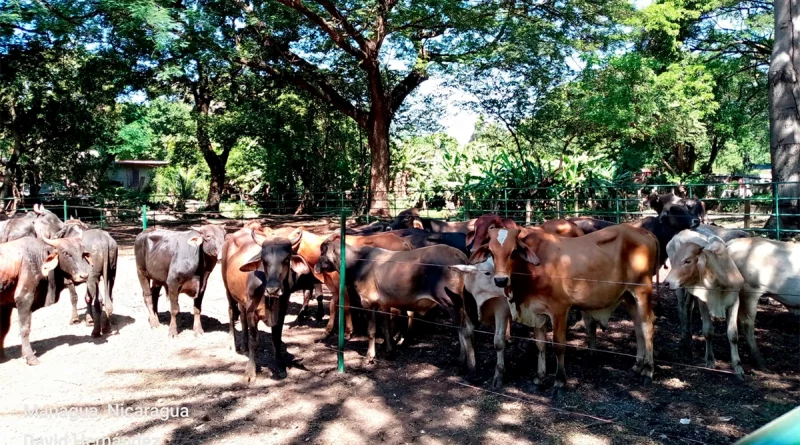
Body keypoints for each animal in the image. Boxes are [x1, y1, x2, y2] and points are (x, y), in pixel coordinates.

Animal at [0, 236, 92, 364]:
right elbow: (25, 328)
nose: (84, 276)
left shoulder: (5, 304)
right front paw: (30, 357)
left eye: (82, 253)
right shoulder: (24, 297)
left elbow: (3, 329)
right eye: (65, 253)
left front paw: (2, 357)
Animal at [222, 227, 310, 380]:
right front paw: (250, 371)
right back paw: (231, 342)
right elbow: (254, 341)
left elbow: (276, 339)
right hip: (228, 290)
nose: (273, 289)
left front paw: (280, 366)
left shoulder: (281, 313)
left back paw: (243, 345)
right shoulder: (252, 312)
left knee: (242, 318)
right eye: (264, 260)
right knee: (232, 313)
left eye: (286, 259)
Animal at [316, 232, 476, 368]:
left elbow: (372, 331)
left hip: (451, 302)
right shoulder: (384, 305)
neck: (358, 263)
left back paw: (469, 365)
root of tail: (460, 256)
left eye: (322, 251)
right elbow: (386, 328)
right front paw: (390, 350)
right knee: (465, 328)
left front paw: (369, 356)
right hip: (460, 304)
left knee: (464, 329)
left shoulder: (368, 302)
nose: (317, 267)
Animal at [472, 225, 660, 388]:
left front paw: (560, 381)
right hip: (629, 296)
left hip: (642, 290)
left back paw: (648, 371)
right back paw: (638, 365)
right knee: (638, 326)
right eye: (491, 253)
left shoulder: (559, 309)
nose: (500, 280)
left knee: (647, 326)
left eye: (513, 252)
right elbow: (540, 345)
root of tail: (645, 232)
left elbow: (558, 345)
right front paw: (540, 378)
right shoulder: (536, 311)